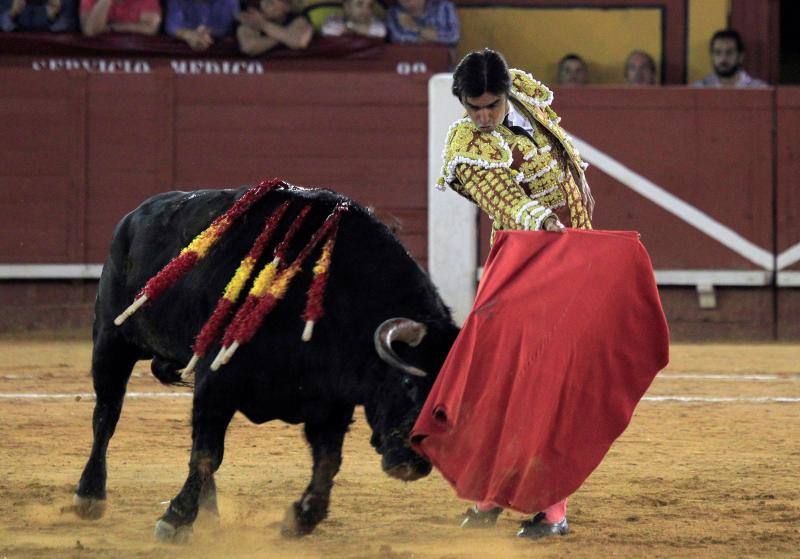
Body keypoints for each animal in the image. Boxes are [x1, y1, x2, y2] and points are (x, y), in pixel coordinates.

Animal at [75, 186, 462, 540]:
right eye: (408, 383)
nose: (414, 463)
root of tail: (134, 216)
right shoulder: (216, 381)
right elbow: (207, 454)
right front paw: (176, 518)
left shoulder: (330, 400)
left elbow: (327, 460)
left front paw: (300, 518)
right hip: (111, 341)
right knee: (106, 415)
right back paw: (90, 495)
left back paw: (209, 510)